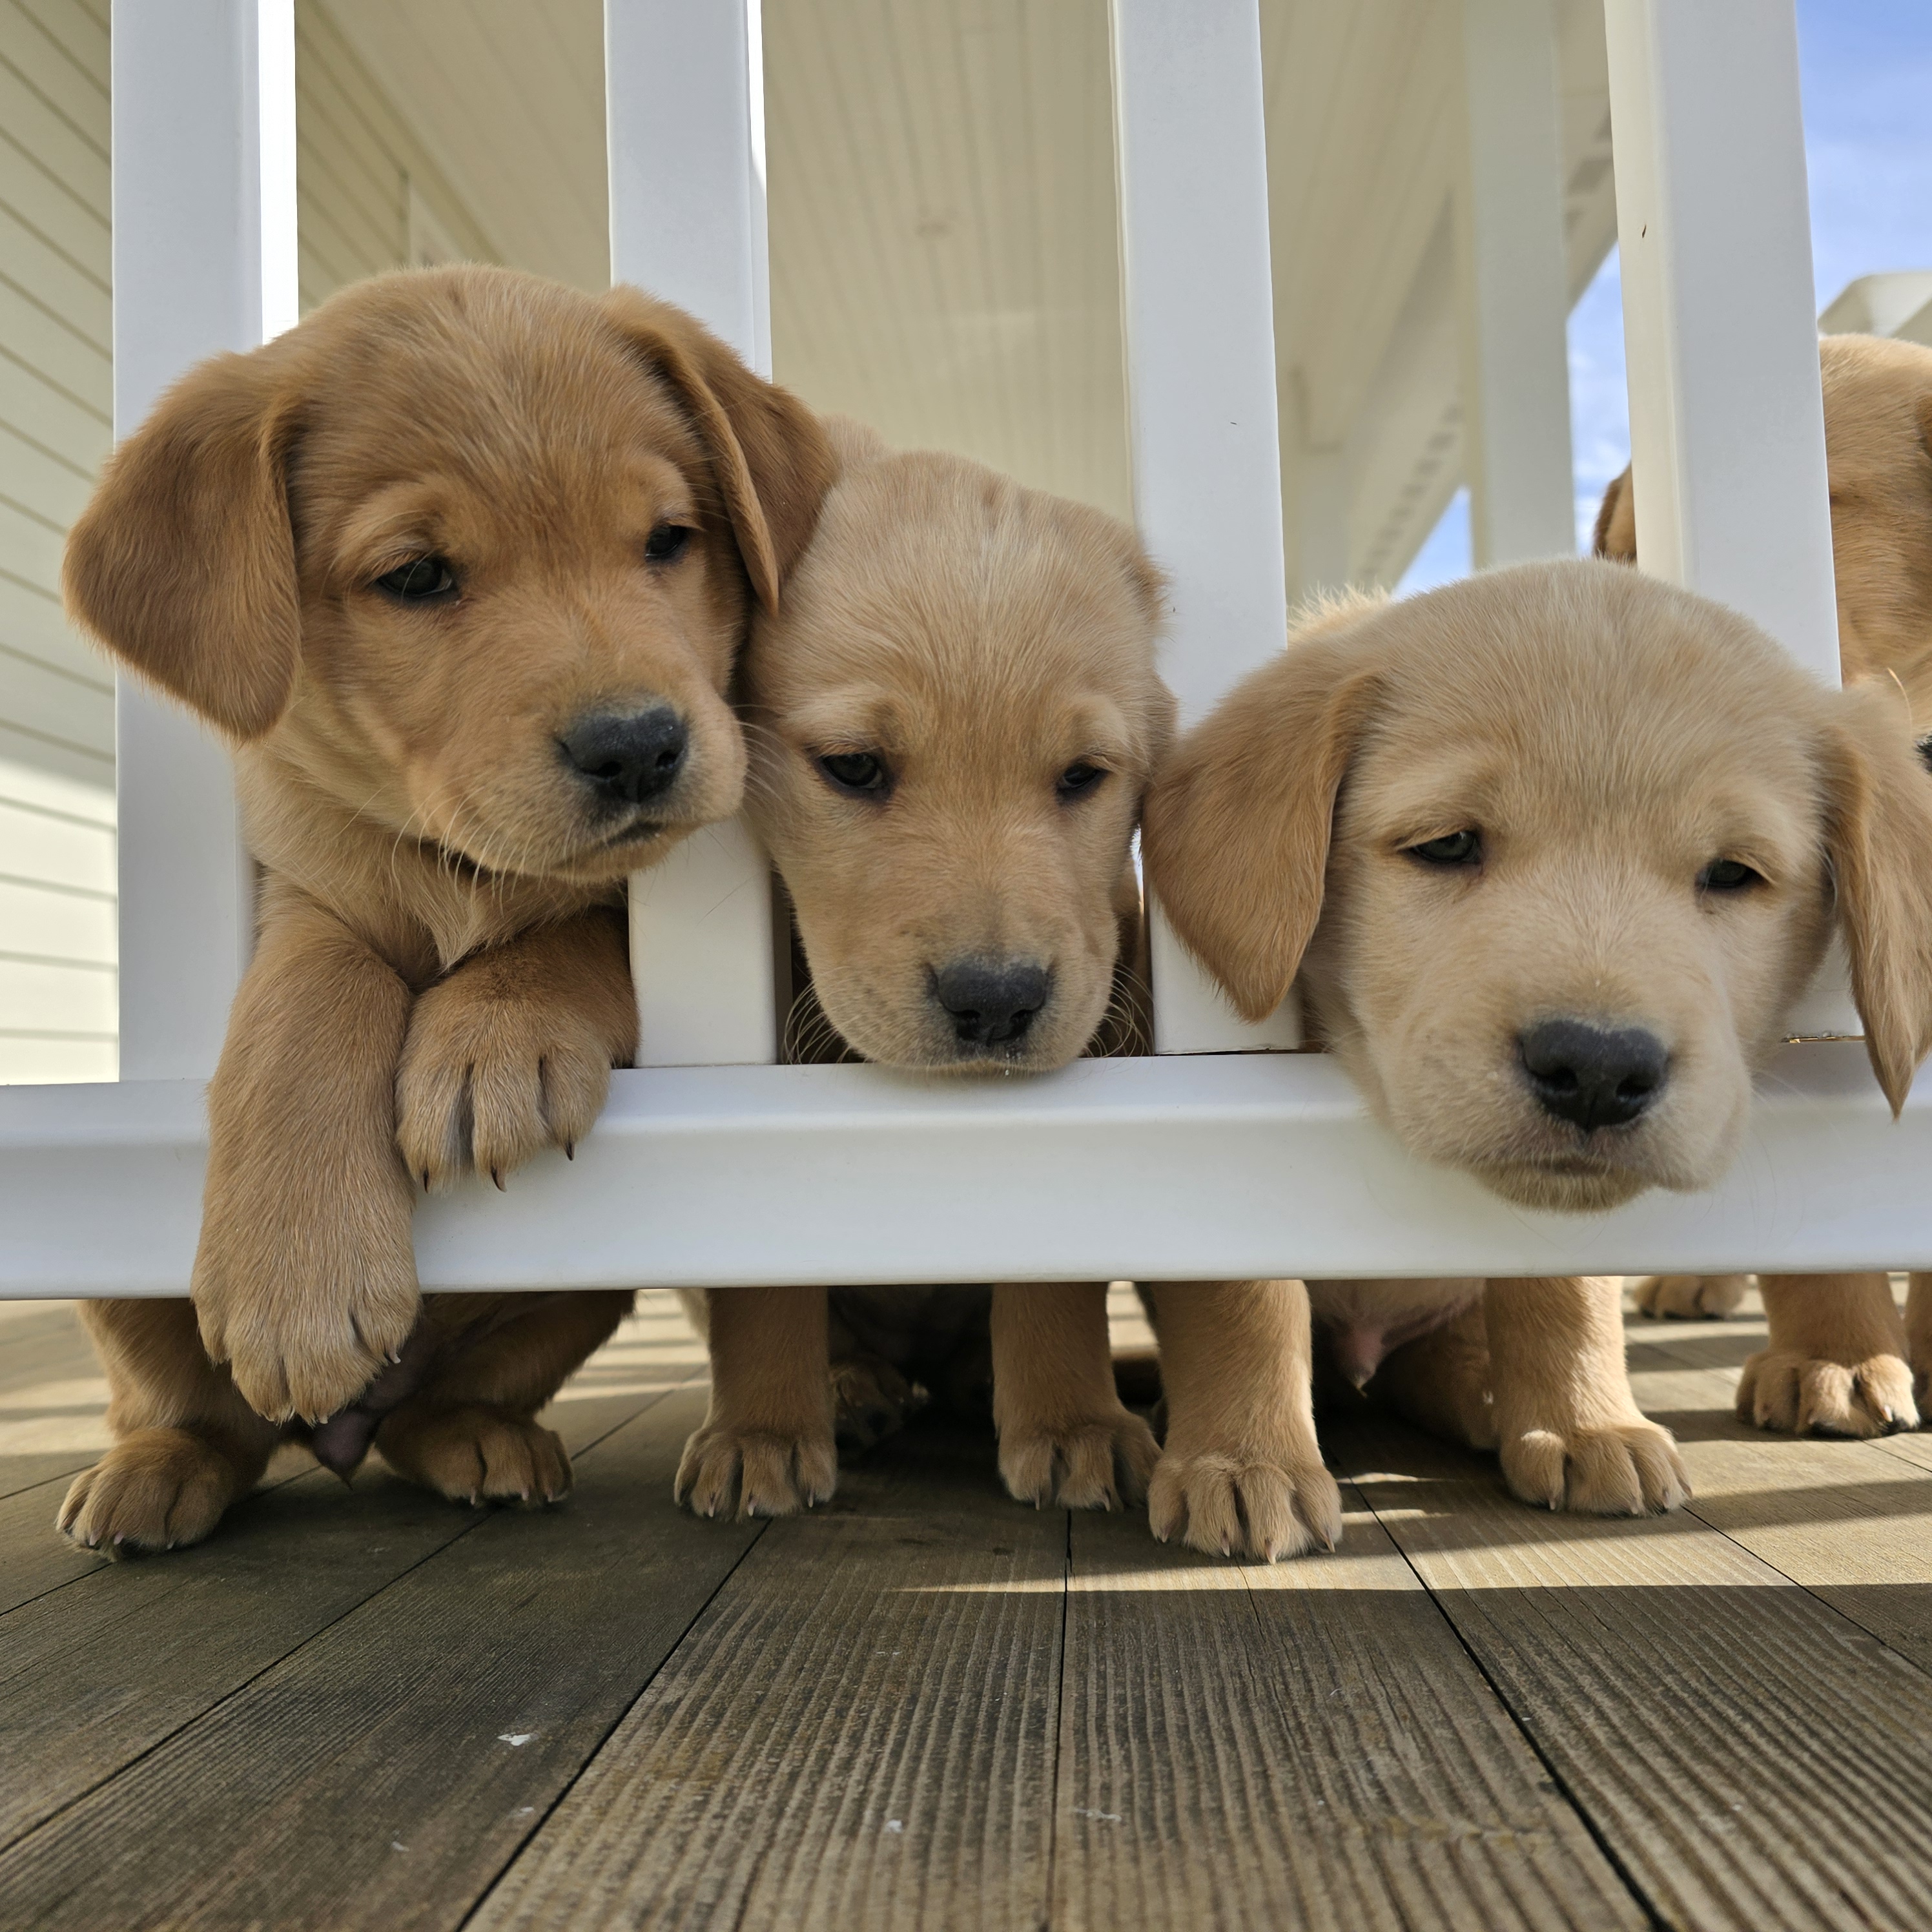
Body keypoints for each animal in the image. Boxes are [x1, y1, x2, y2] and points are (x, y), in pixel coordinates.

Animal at [58, 264, 830, 1545]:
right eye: (417, 576)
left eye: (670, 540)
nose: (638, 747)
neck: (455, 866)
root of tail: (334, 1439)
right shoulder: (300, 885)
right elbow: (312, 987)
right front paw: (300, 1271)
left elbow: (580, 925)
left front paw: (494, 1034)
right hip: (121, 1301)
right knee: (197, 1416)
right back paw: (155, 1469)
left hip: (572, 1303)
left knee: (440, 1406)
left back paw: (477, 1440)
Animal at [664, 419, 1344, 1553]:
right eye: (853, 767)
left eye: (1083, 777)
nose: (995, 999)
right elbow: (765, 1278)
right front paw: (761, 1428)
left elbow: (1051, 1265)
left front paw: (1071, 1421)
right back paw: (847, 1384)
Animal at [1136, 552, 1932, 1514]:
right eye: (1446, 845)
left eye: (1732, 874)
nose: (1596, 1069)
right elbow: (1240, 1283)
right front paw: (1242, 1461)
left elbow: (1561, 1284)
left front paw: (1583, 1423)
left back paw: (1483, 1386)